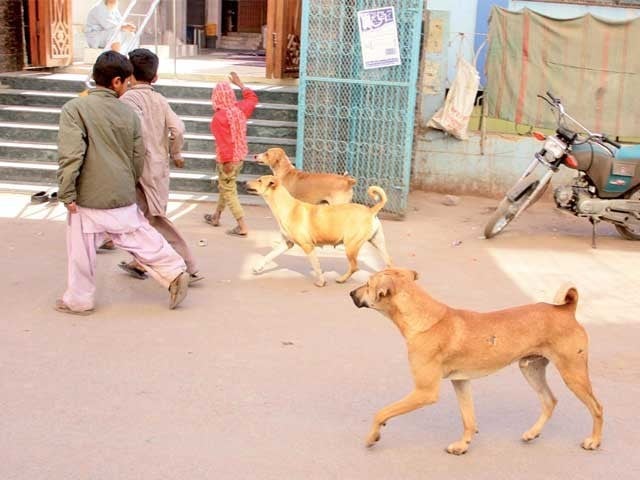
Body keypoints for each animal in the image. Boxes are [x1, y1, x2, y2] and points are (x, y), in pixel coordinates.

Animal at [248, 176, 392, 288]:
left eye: (259, 180)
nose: (245, 183)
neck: (288, 208)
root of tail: (371, 210)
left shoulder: (308, 246)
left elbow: (316, 265)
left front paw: (321, 282)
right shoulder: (286, 244)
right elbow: (268, 256)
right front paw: (257, 267)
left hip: (351, 246)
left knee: (354, 267)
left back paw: (341, 279)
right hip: (378, 244)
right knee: (389, 263)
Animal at [350, 270, 604, 454]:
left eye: (368, 284)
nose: (351, 293)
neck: (426, 320)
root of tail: (567, 310)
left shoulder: (424, 392)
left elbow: (381, 413)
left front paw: (372, 436)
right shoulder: (461, 382)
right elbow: (468, 419)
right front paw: (463, 445)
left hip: (573, 374)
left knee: (597, 407)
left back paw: (594, 441)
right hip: (531, 369)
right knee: (550, 401)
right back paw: (533, 433)